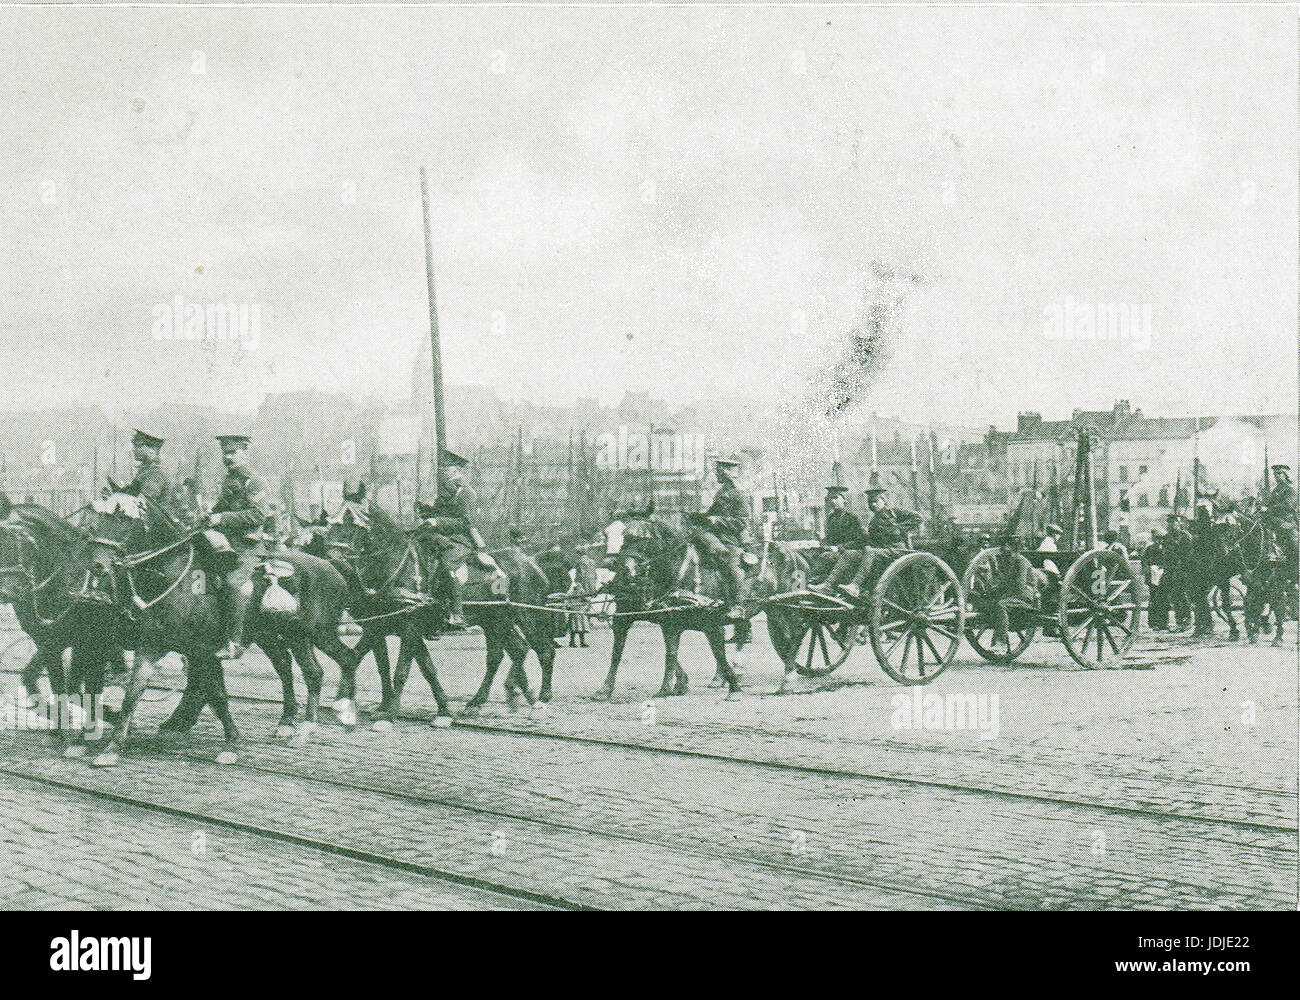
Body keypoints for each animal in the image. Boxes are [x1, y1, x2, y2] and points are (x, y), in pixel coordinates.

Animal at [590, 509, 800, 697]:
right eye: (608, 535)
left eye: (644, 538)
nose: (623, 570)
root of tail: (789, 551)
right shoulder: (655, 619)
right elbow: (626, 652)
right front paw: (606, 690)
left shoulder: (709, 621)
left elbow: (715, 653)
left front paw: (732, 686)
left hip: (781, 607)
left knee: (792, 638)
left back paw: (787, 680)